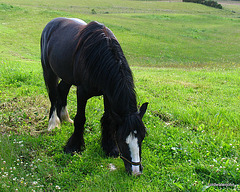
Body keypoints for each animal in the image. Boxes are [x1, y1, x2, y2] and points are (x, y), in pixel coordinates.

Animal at [40, 17, 148, 175]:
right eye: (122, 139)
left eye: (142, 137)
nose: (135, 171)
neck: (99, 57)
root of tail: (52, 23)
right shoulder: (82, 92)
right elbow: (80, 119)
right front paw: (73, 147)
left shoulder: (108, 94)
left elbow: (109, 119)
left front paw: (109, 148)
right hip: (49, 71)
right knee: (53, 95)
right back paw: (54, 123)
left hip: (67, 76)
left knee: (62, 90)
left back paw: (65, 117)